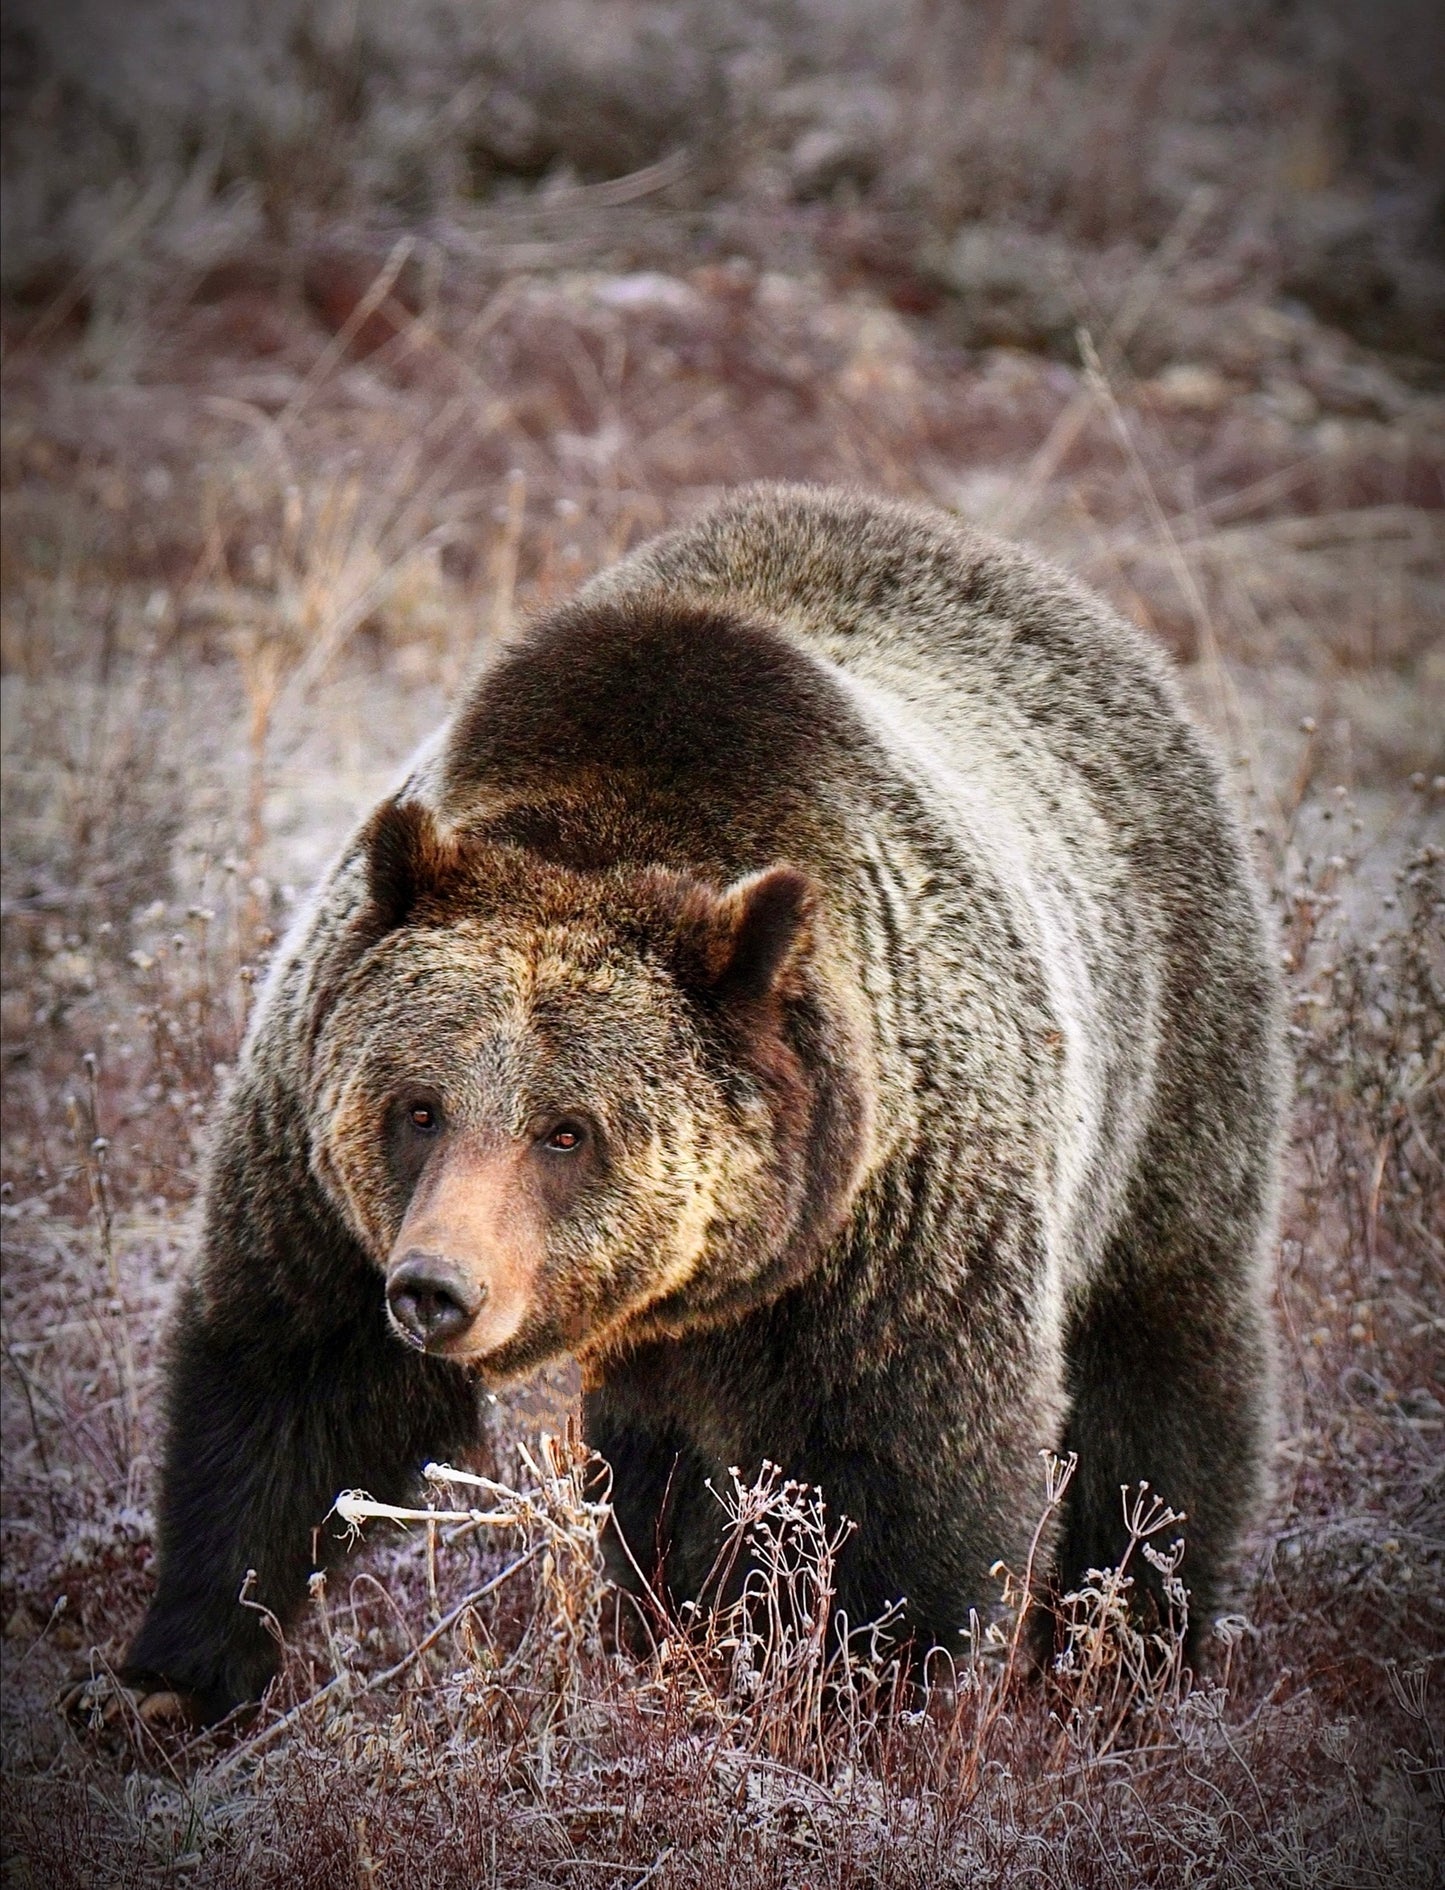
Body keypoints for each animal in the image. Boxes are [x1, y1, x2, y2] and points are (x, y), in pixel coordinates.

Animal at [116, 484, 1287, 1724]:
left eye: (567, 1131)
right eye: (416, 1107)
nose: (437, 1289)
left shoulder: (897, 1226)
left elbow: (914, 1486)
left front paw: (865, 1698)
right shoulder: (319, 1174)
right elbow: (289, 1381)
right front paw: (173, 1673)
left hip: (1170, 1065)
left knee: (1160, 1361)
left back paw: (1136, 1641)